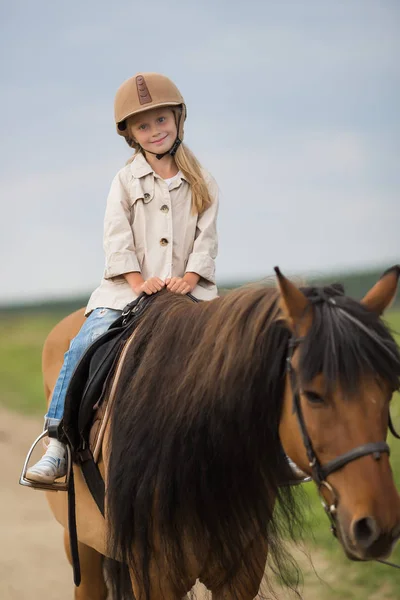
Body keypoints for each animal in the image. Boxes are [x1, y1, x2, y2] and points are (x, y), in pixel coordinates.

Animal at [37, 268, 400, 600]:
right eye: (312, 395)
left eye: (389, 389)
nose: (376, 527)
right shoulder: (155, 578)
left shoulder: (241, 573)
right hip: (82, 548)